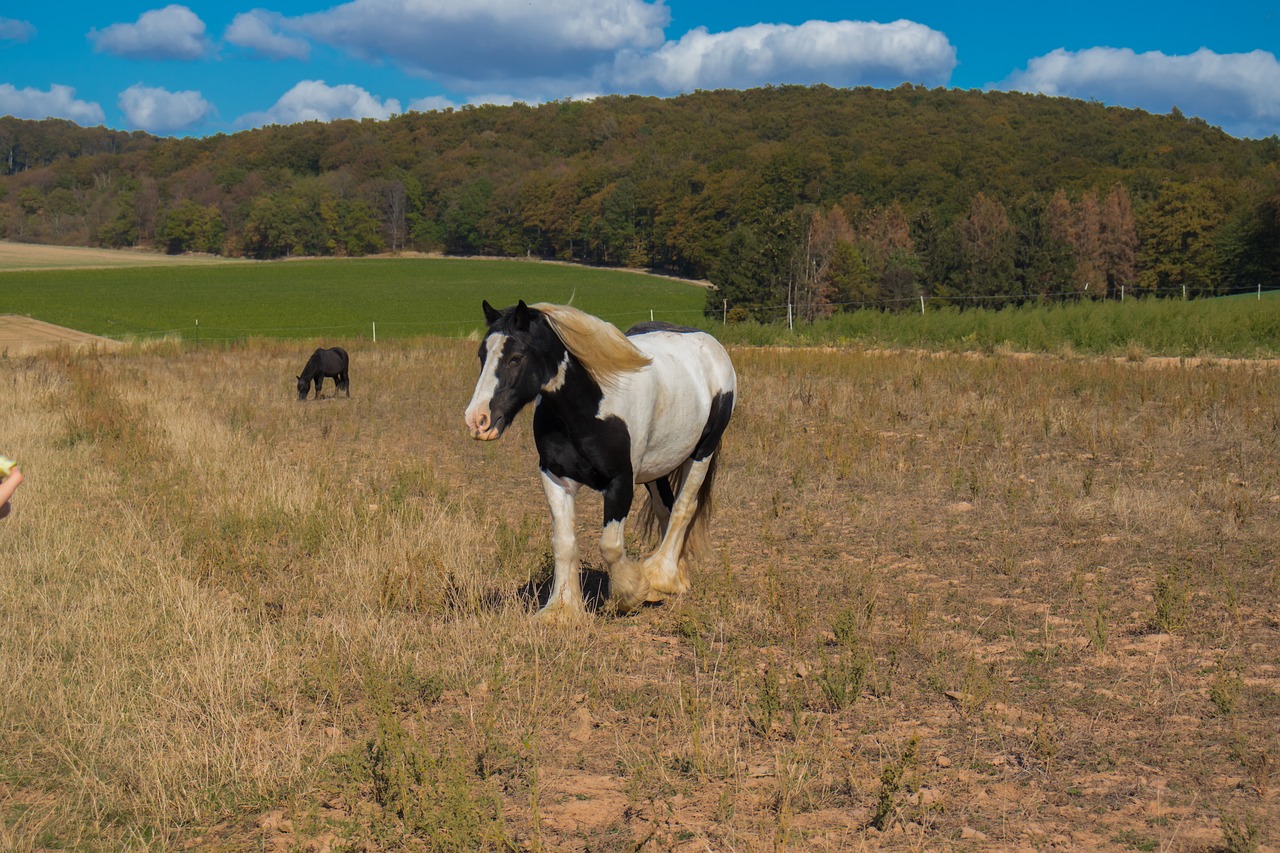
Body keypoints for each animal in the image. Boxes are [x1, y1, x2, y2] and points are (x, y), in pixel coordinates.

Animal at [465, 300, 737, 617]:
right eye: (482, 355)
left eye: (515, 357)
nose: (477, 420)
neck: (590, 405)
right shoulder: (554, 476)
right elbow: (564, 543)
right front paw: (562, 609)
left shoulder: (620, 483)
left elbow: (610, 545)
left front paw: (628, 594)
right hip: (657, 467)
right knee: (665, 509)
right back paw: (672, 576)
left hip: (702, 451)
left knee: (683, 508)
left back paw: (662, 578)